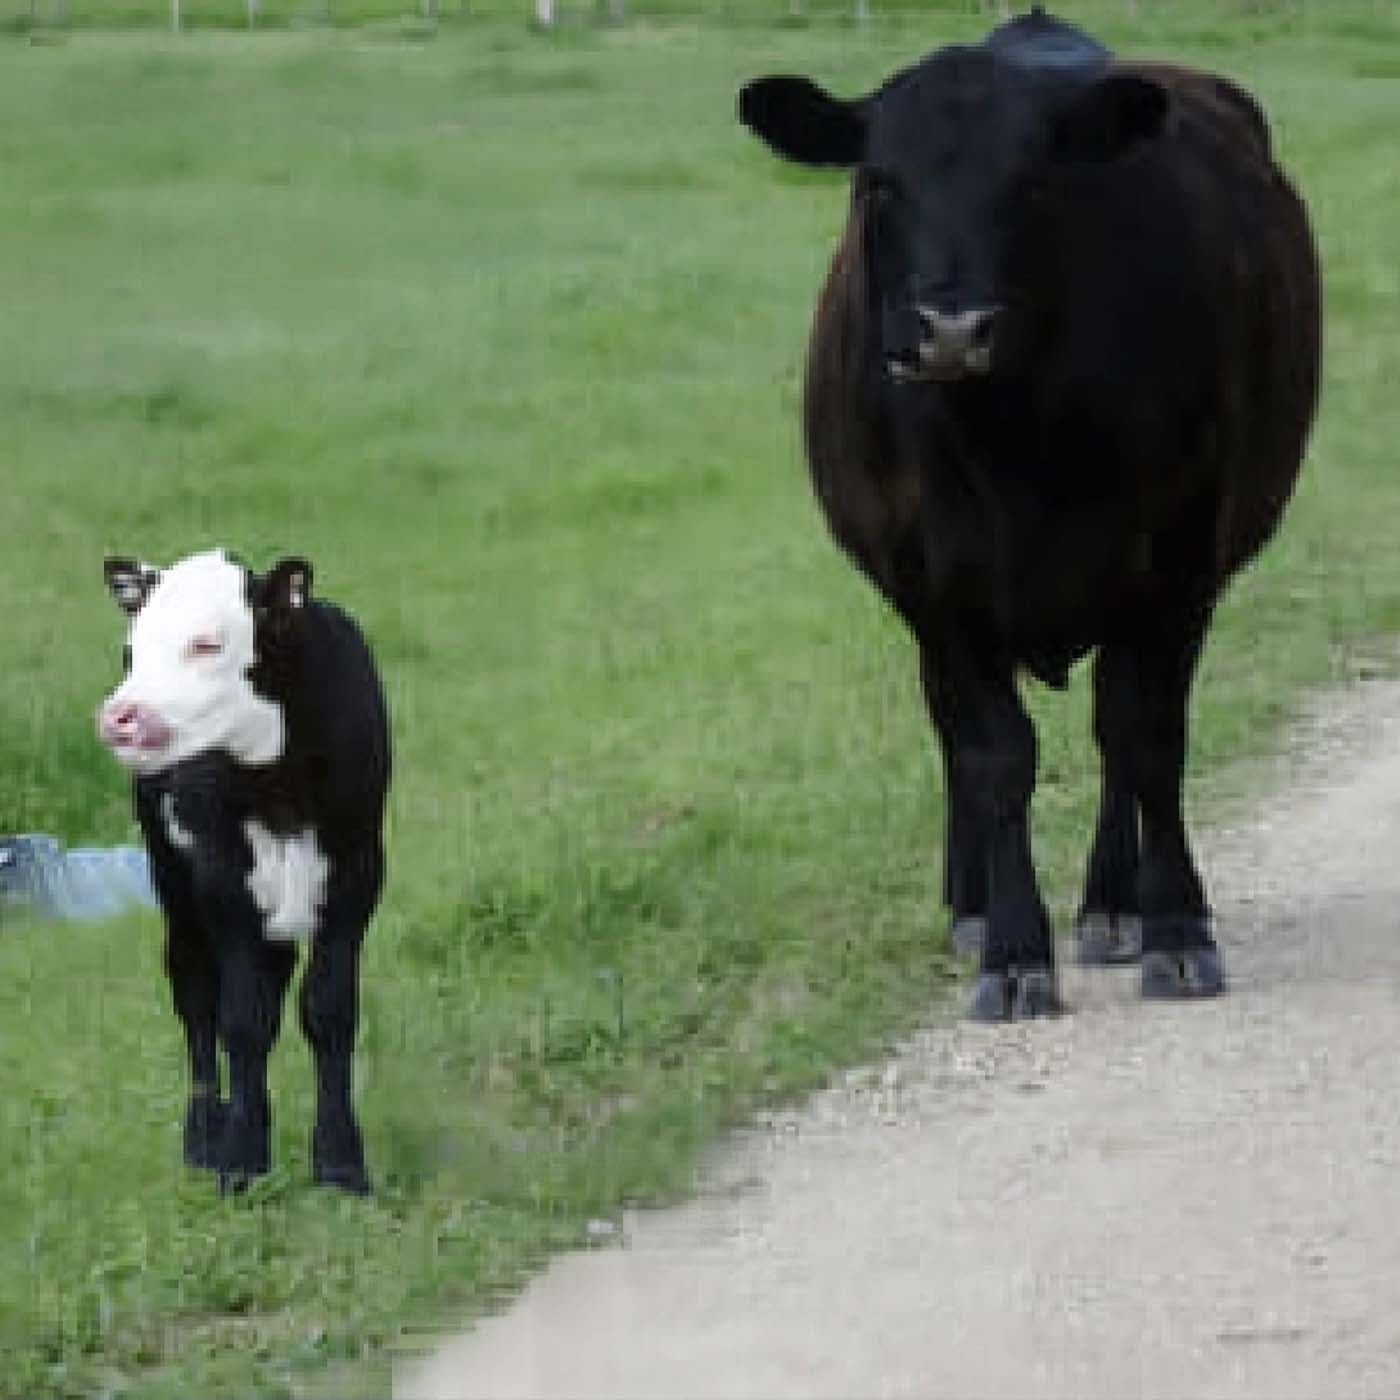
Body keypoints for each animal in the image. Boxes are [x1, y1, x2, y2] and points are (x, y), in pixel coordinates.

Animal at [98, 549, 390, 1192]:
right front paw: (239, 1161)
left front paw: (340, 1163)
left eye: (207, 643)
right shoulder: (222, 877)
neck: (282, 790)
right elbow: (241, 1020)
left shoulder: (359, 872)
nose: (119, 718)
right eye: (131, 652)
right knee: (196, 998)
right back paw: (203, 1136)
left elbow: (328, 1010)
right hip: (172, 883)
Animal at [738, 6, 1321, 1019]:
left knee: (1118, 743)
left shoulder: (1176, 565)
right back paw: (972, 905)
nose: (950, 329)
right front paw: (1012, 949)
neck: (1010, 443)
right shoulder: (936, 590)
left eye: (1031, 181)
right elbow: (995, 756)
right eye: (878, 181)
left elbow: (1144, 737)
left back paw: (1113, 905)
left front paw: (1176, 927)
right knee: (953, 733)